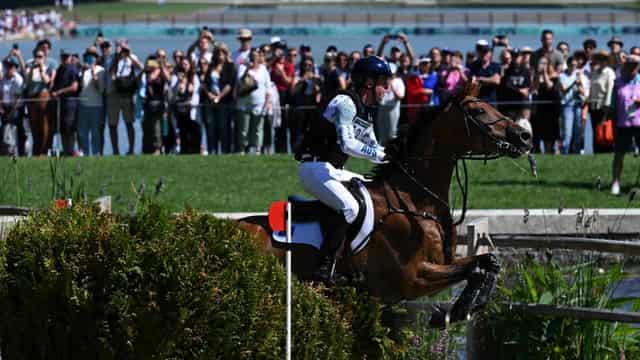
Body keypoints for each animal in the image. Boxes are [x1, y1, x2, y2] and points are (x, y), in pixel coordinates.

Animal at [238, 83, 532, 328]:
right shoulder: (413, 277)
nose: (524, 136)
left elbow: (487, 263)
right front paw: (456, 311)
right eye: (479, 111)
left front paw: (464, 309)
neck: (415, 201)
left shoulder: (444, 263)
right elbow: (476, 269)